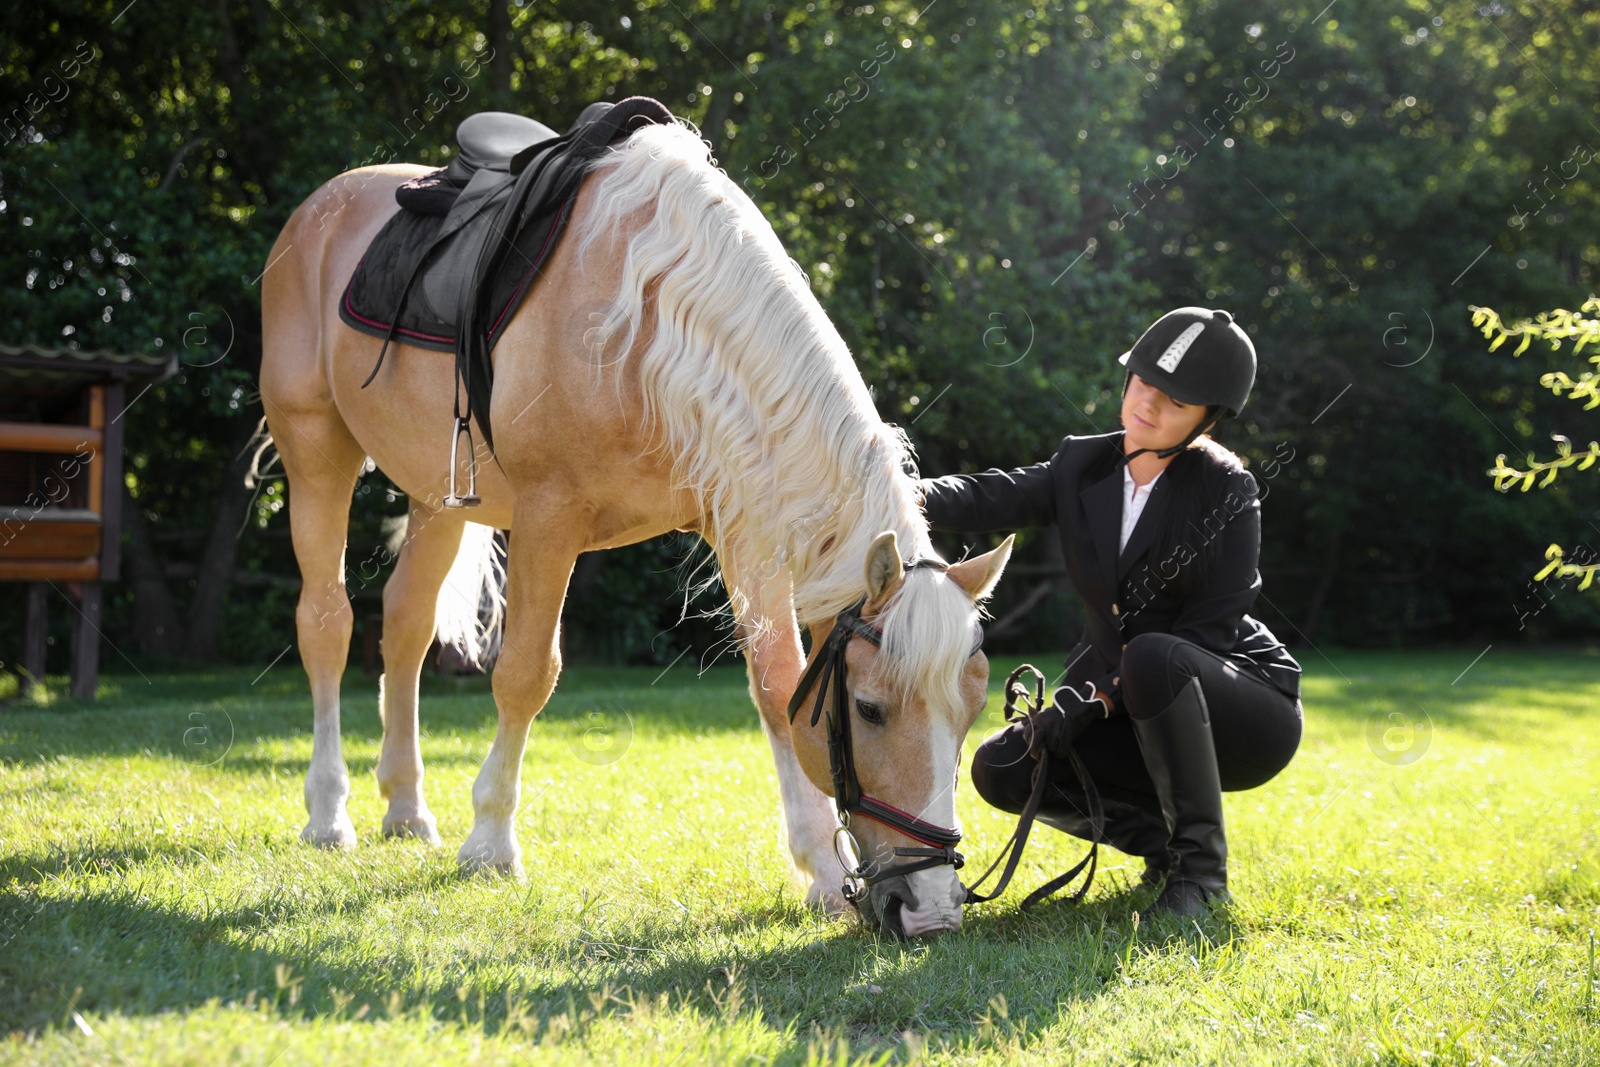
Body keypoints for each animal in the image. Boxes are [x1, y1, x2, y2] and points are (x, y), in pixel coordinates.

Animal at [259, 119, 1011, 934]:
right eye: (870, 710)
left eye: (972, 710)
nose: (929, 908)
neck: (650, 317)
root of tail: (321, 207)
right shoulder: (549, 517)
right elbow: (525, 675)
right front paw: (490, 843)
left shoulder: (743, 525)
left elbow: (777, 686)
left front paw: (818, 868)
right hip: (316, 452)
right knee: (327, 624)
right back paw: (328, 814)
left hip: (438, 494)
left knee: (404, 624)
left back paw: (405, 808)